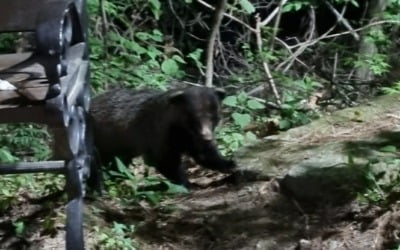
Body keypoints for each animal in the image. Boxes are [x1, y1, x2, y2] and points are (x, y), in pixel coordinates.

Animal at [89, 85, 236, 186]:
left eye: (213, 117)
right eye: (194, 117)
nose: (207, 137)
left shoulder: (190, 137)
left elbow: (203, 154)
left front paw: (229, 164)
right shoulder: (159, 133)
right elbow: (164, 159)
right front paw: (184, 183)